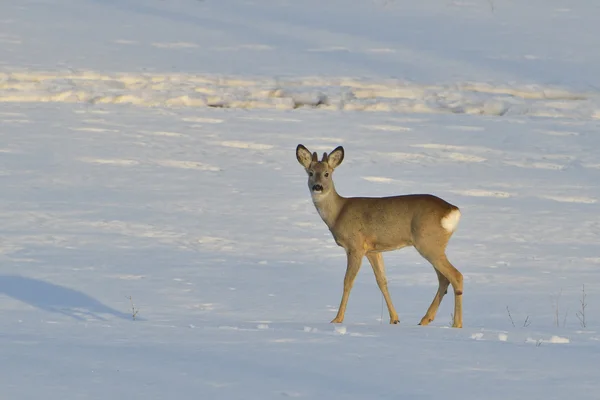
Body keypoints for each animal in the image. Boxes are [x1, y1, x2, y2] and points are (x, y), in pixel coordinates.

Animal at [296, 144, 464, 328]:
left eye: (327, 173)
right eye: (310, 172)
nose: (317, 187)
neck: (338, 213)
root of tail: (452, 210)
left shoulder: (355, 246)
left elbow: (348, 281)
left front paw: (337, 319)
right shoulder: (373, 250)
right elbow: (382, 281)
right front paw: (394, 319)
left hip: (428, 243)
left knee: (456, 276)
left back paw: (456, 324)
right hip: (433, 245)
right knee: (444, 279)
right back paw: (425, 320)